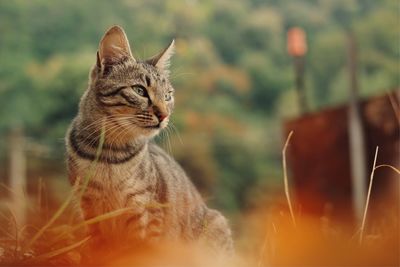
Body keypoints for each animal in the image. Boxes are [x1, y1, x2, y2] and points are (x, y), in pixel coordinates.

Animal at [65, 26, 233, 254]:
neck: (110, 152)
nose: (164, 115)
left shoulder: (145, 211)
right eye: (139, 90)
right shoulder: (88, 207)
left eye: (168, 96)